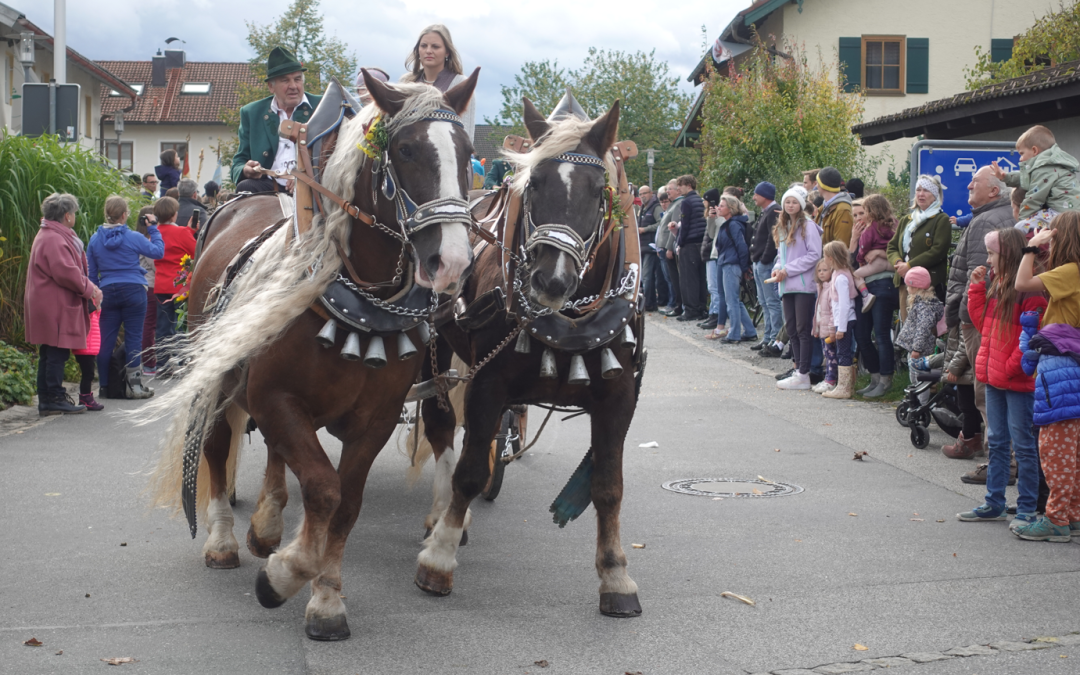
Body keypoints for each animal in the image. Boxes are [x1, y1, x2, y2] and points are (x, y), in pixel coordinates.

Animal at [149, 71, 481, 639]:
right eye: (406, 149)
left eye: (467, 152)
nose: (453, 262)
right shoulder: (273, 396)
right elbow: (324, 489)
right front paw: (283, 575)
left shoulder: (375, 418)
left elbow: (345, 503)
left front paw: (325, 597)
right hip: (220, 378)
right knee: (215, 447)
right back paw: (224, 540)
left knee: (279, 458)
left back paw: (267, 524)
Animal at [412, 95, 639, 617]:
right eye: (534, 184)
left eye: (599, 192)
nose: (550, 280)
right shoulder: (487, 385)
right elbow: (469, 471)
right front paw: (439, 560)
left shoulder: (620, 394)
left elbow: (609, 487)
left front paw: (616, 575)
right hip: (435, 351)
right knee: (440, 428)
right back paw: (439, 518)